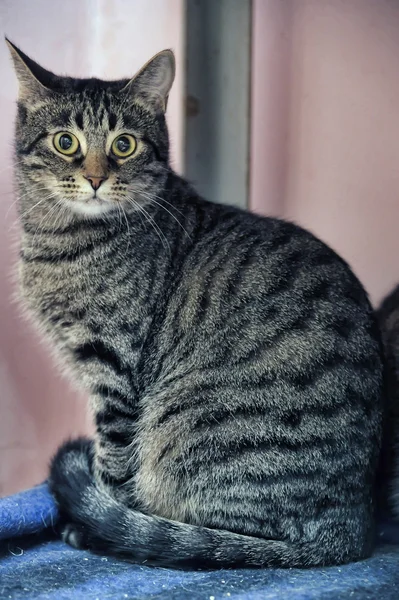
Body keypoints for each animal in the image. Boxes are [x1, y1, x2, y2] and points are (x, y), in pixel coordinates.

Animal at [7, 39, 384, 568]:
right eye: (65, 142)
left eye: (124, 144)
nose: (96, 179)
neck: (61, 242)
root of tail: (349, 528)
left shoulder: (114, 367)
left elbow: (112, 463)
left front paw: (95, 518)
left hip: (189, 430)